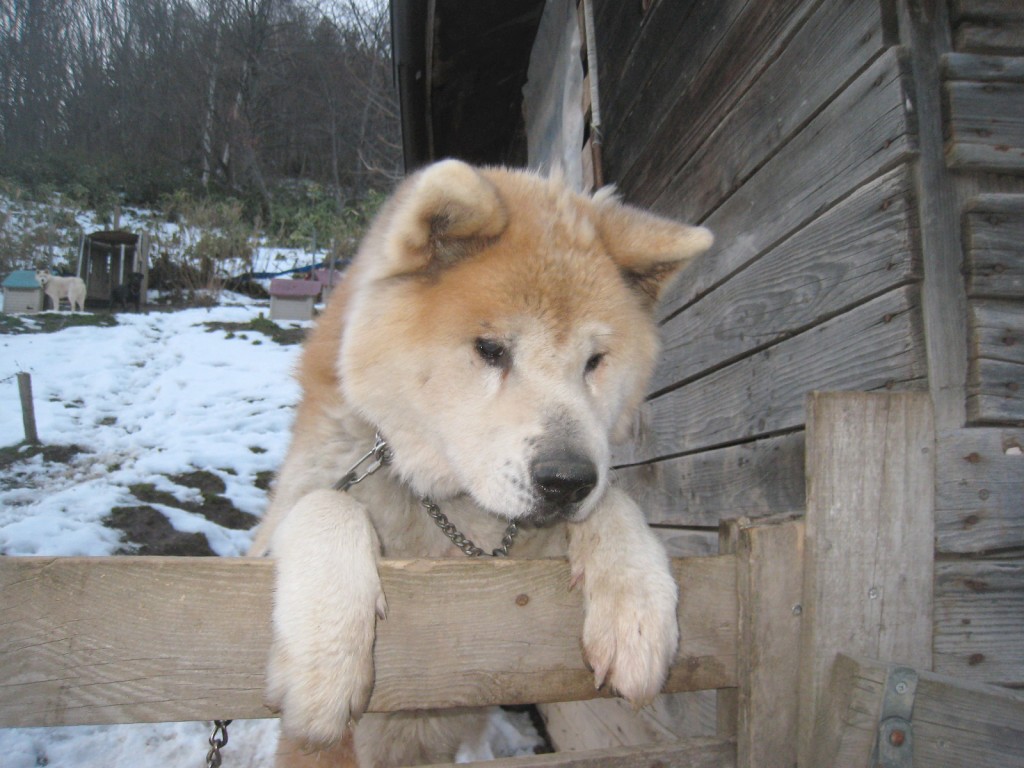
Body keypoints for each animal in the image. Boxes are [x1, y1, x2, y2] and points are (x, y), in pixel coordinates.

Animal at [249, 159, 712, 765]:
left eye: (594, 361)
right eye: (490, 350)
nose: (567, 481)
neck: (450, 518)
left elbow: (615, 502)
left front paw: (636, 605)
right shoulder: (274, 529)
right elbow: (327, 503)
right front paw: (326, 657)